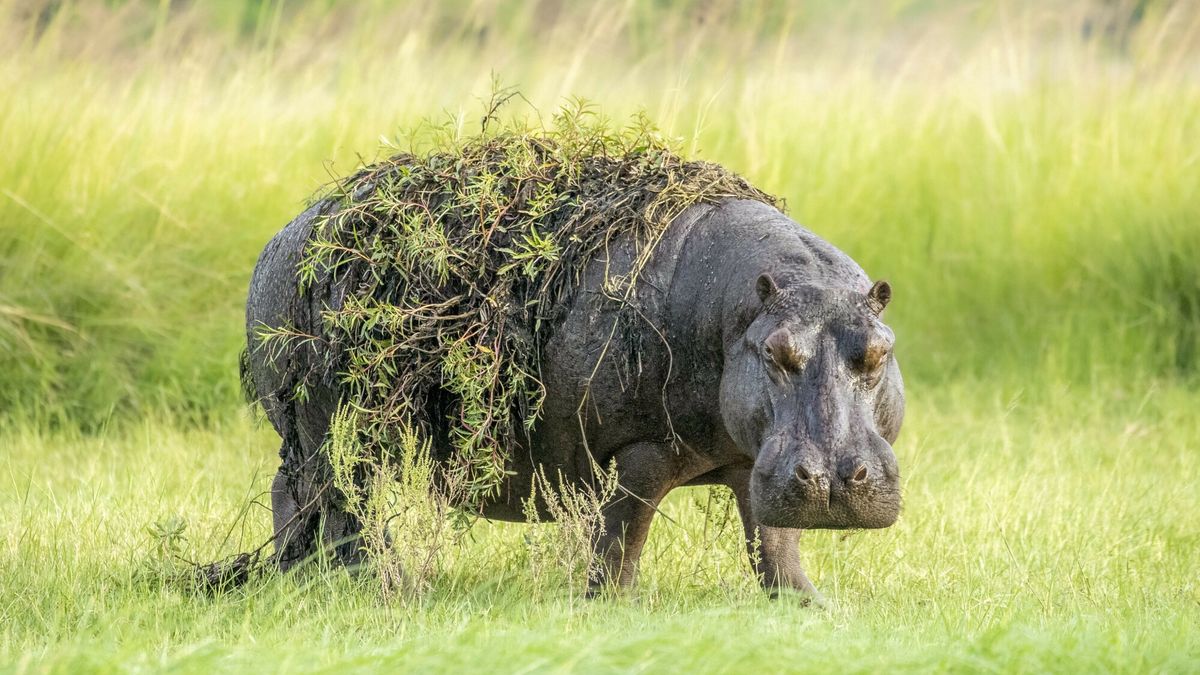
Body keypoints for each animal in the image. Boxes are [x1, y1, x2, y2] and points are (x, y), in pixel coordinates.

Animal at [244, 197, 904, 599]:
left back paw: (308, 581)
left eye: (879, 350)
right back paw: (388, 589)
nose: (834, 479)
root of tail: (280, 237)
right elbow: (625, 528)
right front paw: (610, 606)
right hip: (334, 431)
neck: (741, 311)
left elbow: (774, 541)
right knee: (340, 507)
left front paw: (812, 607)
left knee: (303, 499)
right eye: (775, 352)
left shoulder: (756, 460)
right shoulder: (642, 449)